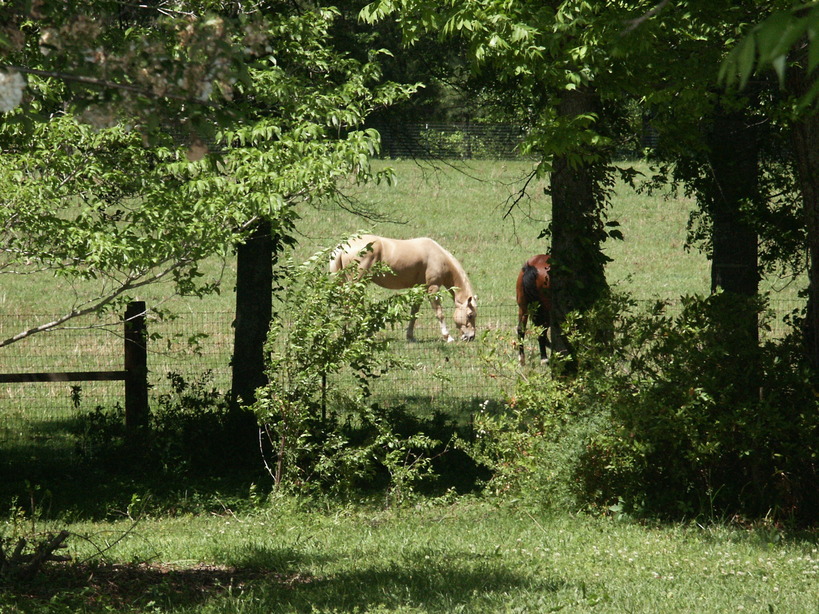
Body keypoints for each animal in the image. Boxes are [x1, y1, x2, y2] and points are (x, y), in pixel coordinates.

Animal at [330, 234, 477, 342]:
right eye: (470, 315)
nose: (471, 337)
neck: (438, 257)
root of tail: (343, 246)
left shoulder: (419, 289)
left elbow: (414, 313)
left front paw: (410, 336)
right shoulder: (433, 288)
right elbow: (439, 313)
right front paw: (448, 337)